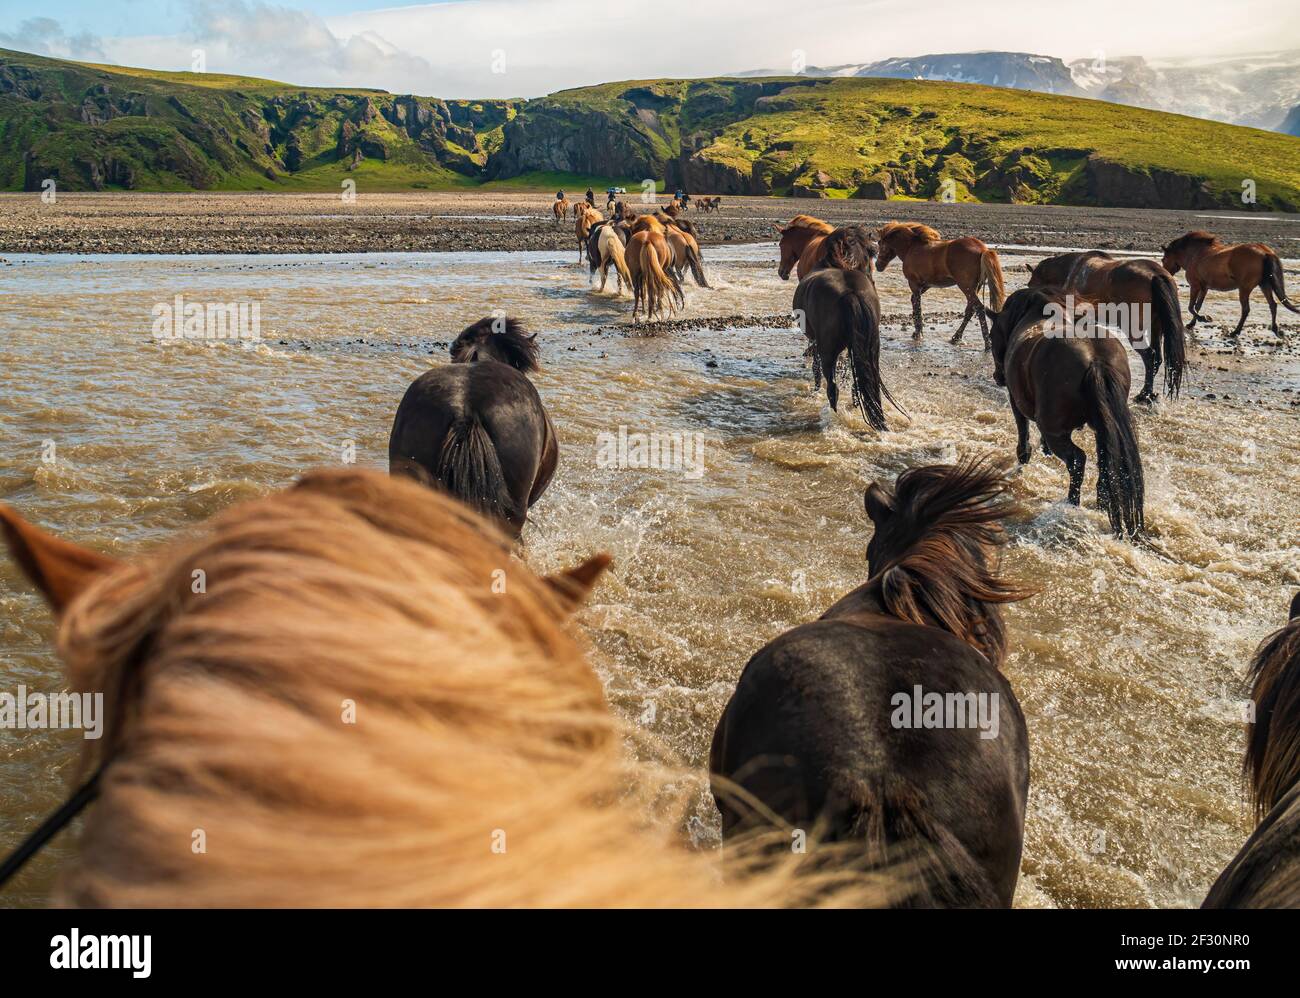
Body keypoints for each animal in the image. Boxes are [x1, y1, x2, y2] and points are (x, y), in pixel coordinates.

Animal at [876, 222, 1006, 347]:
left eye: (879, 243)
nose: (878, 266)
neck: (911, 247)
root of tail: (983, 250)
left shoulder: (914, 283)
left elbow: (917, 306)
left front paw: (918, 334)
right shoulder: (925, 284)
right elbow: (914, 302)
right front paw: (917, 331)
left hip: (966, 287)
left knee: (979, 308)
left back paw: (987, 343)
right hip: (974, 288)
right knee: (970, 309)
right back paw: (956, 337)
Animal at [987, 287, 1145, 538]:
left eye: (992, 337)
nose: (998, 376)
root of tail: (1094, 360)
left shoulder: (1016, 401)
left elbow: (1023, 435)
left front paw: (1024, 459)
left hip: (1058, 433)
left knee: (1077, 460)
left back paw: (1072, 503)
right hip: (1103, 428)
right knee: (1105, 461)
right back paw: (1102, 502)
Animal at [1027, 251, 1186, 402]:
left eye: (1030, 285)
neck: (1071, 271)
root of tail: (1156, 275)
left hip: (1134, 329)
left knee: (1149, 356)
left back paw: (1145, 394)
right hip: (1156, 328)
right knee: (1157, 358)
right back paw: (1148, 394)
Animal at [1161, 231, 1300, 340]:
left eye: (1163, 259)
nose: (1165, 274)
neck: (1195, 254)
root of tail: (1265, 252)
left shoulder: (1195, 286)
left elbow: (1191, 307)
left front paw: (1204, 318)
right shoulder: (1204, 288)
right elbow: (1197, 306)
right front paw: (1192, 323)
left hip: (1245, 288)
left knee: (1246, 309)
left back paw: (1235, 332)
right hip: (1264, 285)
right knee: (1273, 305)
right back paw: (1275, 330)